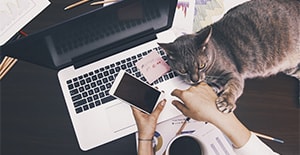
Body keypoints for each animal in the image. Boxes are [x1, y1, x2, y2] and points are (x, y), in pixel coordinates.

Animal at [158, 0, 298, 114]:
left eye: (201, 65)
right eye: (183, 70)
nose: (195, 79)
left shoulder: (233, 74)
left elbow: (234, 87)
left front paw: (226, 102)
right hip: (292, 68)